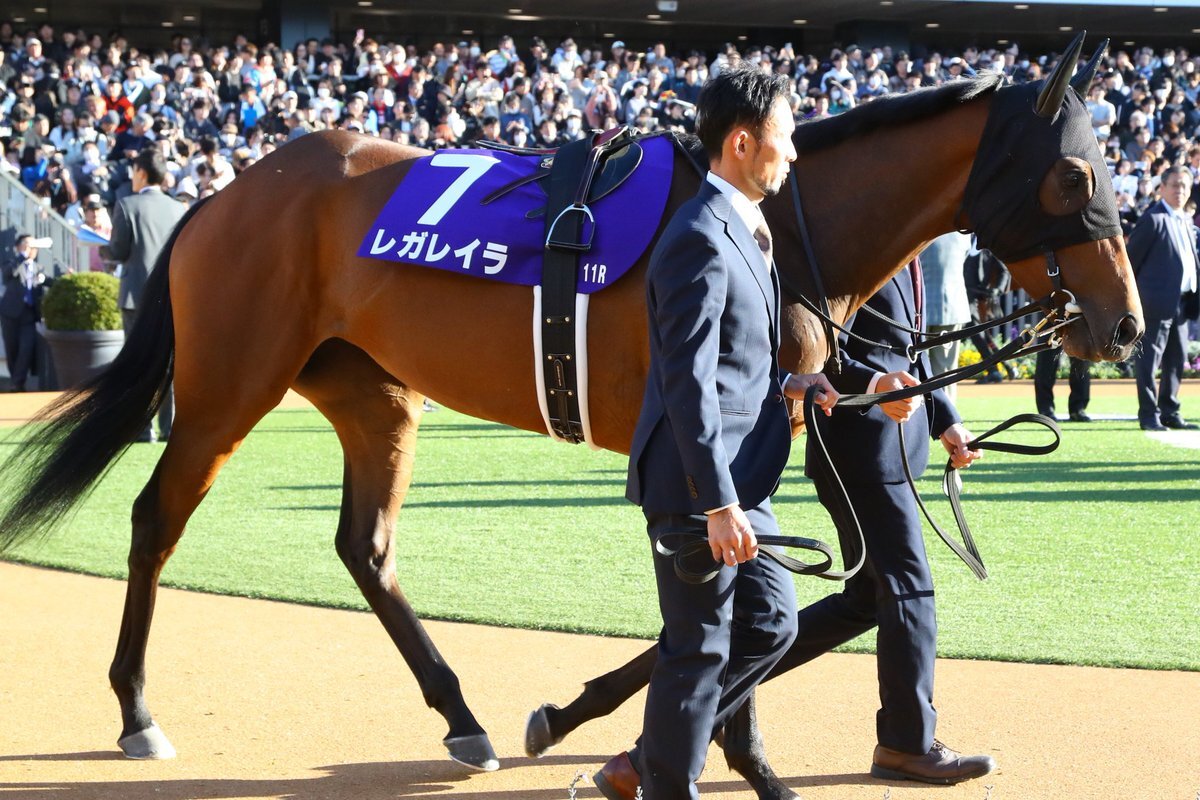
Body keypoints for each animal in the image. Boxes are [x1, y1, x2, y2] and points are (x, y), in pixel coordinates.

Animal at [0, 34, 1141, 774]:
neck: (779, 219)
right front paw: (652, 733)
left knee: (365, 546)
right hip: (229, 385)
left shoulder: (777, 431)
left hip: (374, 394)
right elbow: (745, 595)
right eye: (1076, 175)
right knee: (155, 517)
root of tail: (227, 192)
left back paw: (460, 713)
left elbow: (790, 593)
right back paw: (136, 709)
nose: (1126, 324)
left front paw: (649, 727)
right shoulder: (712, 441)